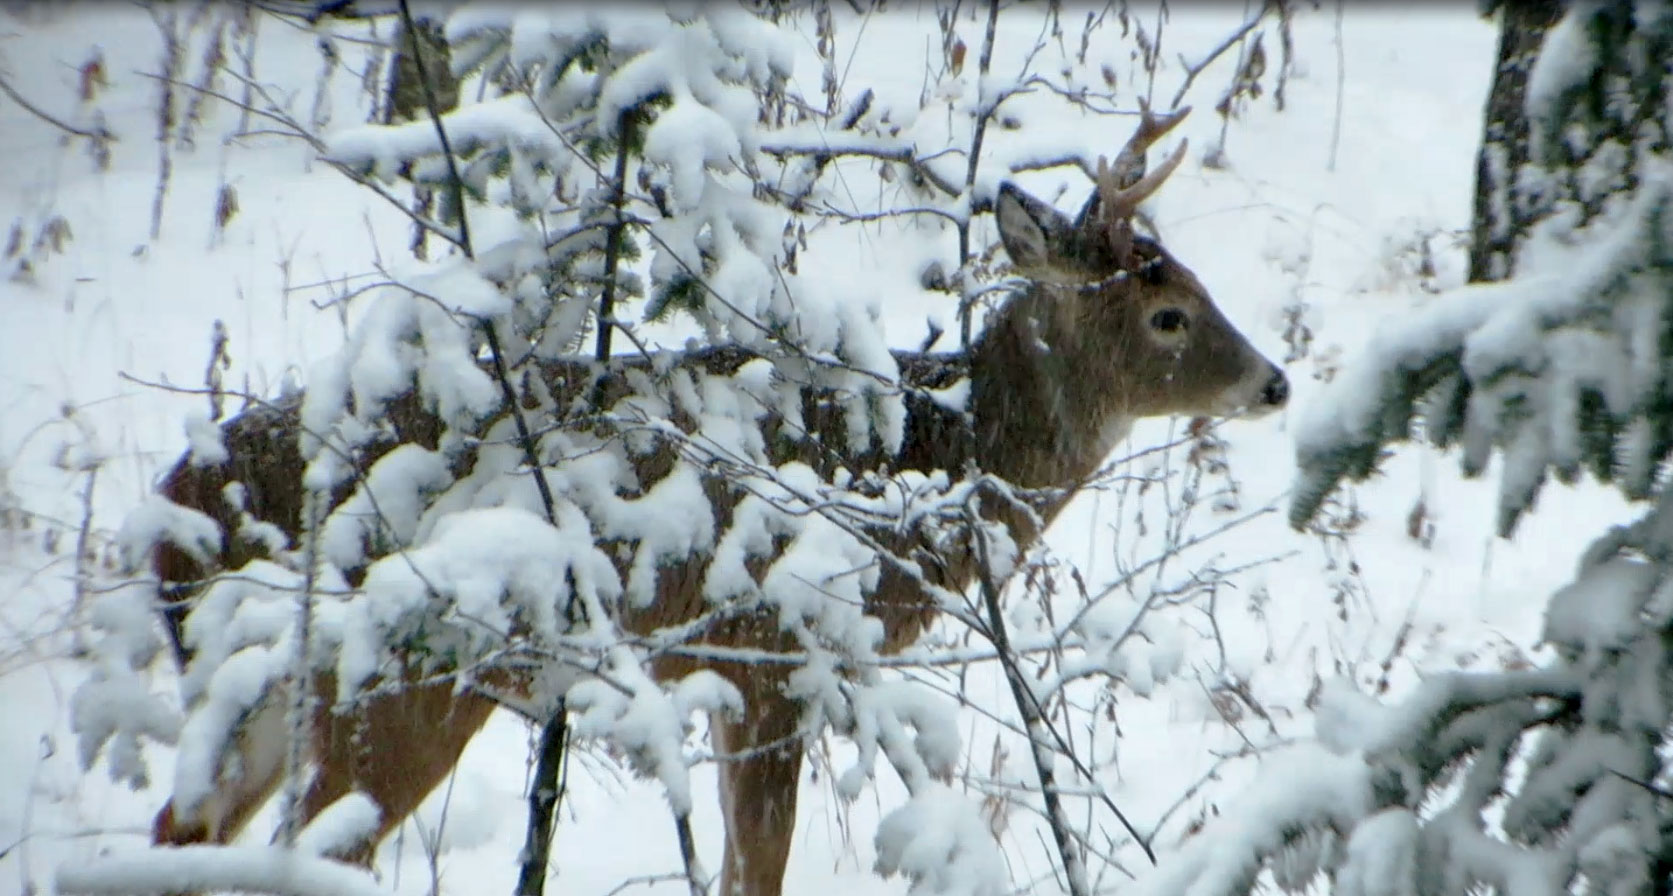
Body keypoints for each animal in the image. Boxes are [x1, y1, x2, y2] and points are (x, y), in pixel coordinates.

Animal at [144, 107, 1288, 896]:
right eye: (1168, 313)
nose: (1274, 382)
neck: (919, 461)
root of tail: (172, 506)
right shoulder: (773, 656)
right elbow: (758, 868)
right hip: (398, 683)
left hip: (260, 691)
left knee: (182, 831)